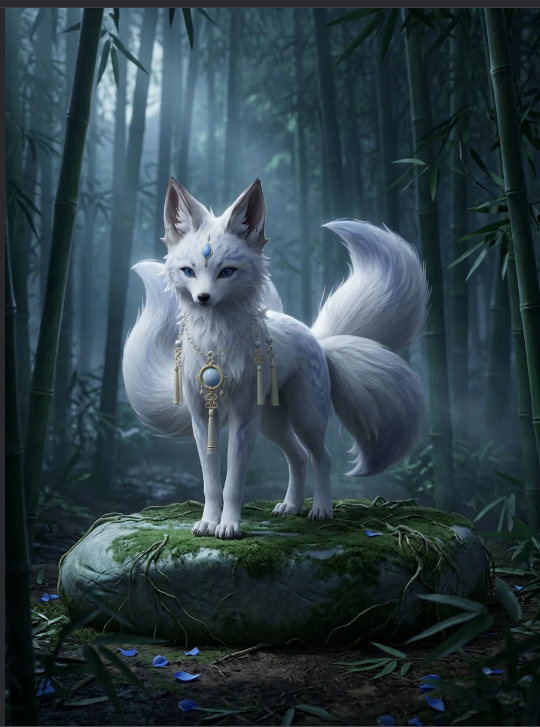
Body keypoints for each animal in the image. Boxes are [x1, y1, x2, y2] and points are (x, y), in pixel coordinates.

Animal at [122, 178, 428, 540]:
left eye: (227, 272)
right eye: (189, 271)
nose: (203, 298)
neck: (216, 346)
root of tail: (315, 337)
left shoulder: (243, 419)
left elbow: (233, 482)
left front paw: (229, 526)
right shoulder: (201, 416)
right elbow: (211, 482)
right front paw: (209, 523)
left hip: (304, 417)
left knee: (322, 457)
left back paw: (321, 510)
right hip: (272, 423)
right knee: (299, 457)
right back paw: (290, 507)